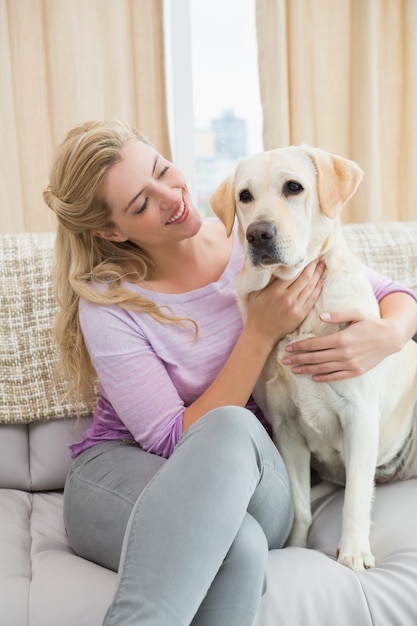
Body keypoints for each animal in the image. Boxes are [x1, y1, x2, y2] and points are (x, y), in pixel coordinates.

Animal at [211, 146, 416, 572]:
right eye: (244, 196)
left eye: (294, 187)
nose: (258, 234)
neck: (301, 321)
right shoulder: (286, 428)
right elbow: (300, 504)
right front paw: (296, 546)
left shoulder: (360, 417)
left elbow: (355, 497)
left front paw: (353, 552)